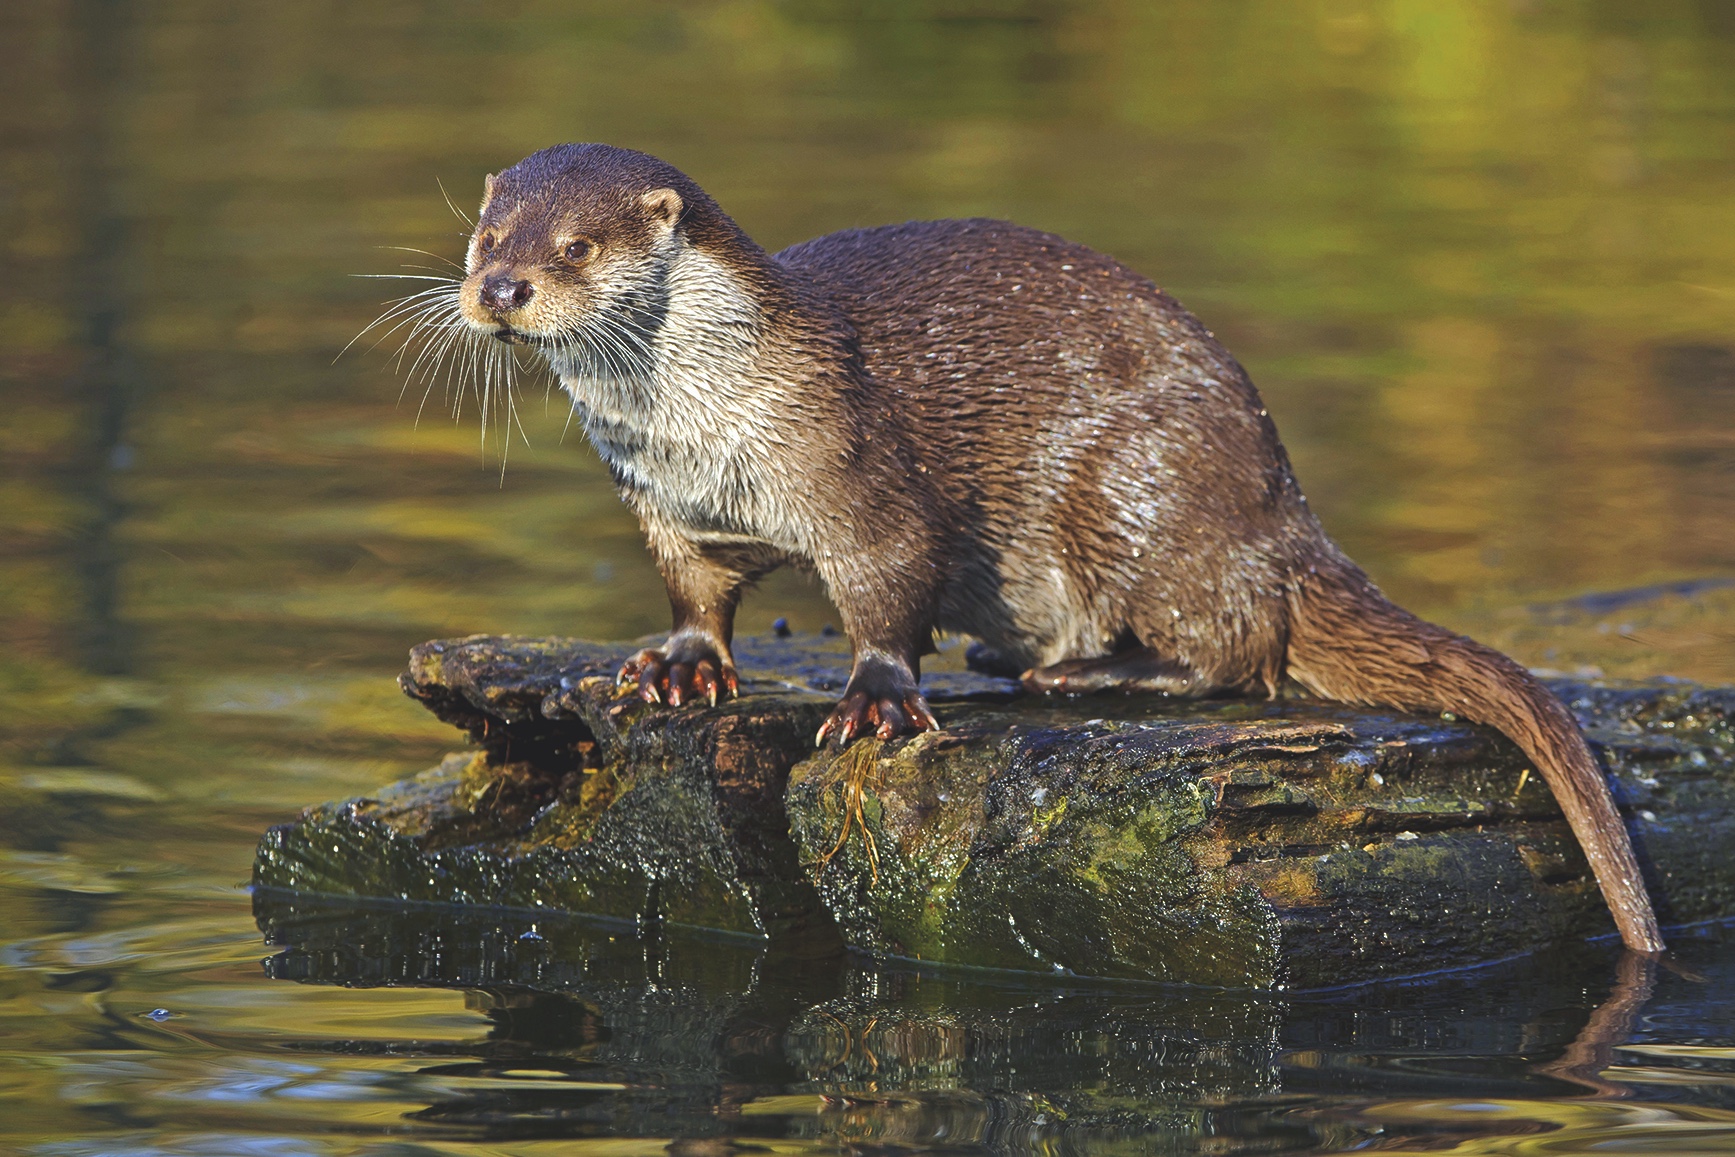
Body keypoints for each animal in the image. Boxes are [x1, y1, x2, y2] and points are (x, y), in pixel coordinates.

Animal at [446, 143, 1661, 954]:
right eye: (486, 235)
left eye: (576, 246)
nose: (501, 288)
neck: (704, 425)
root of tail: (1283, 506)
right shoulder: (669, 507)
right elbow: (696, 592)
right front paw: (680, 666)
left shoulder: (857, 473)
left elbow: (891, 587)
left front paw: (876, 701)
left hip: (1137, 490)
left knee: (1240, 645)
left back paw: (1080, 671)